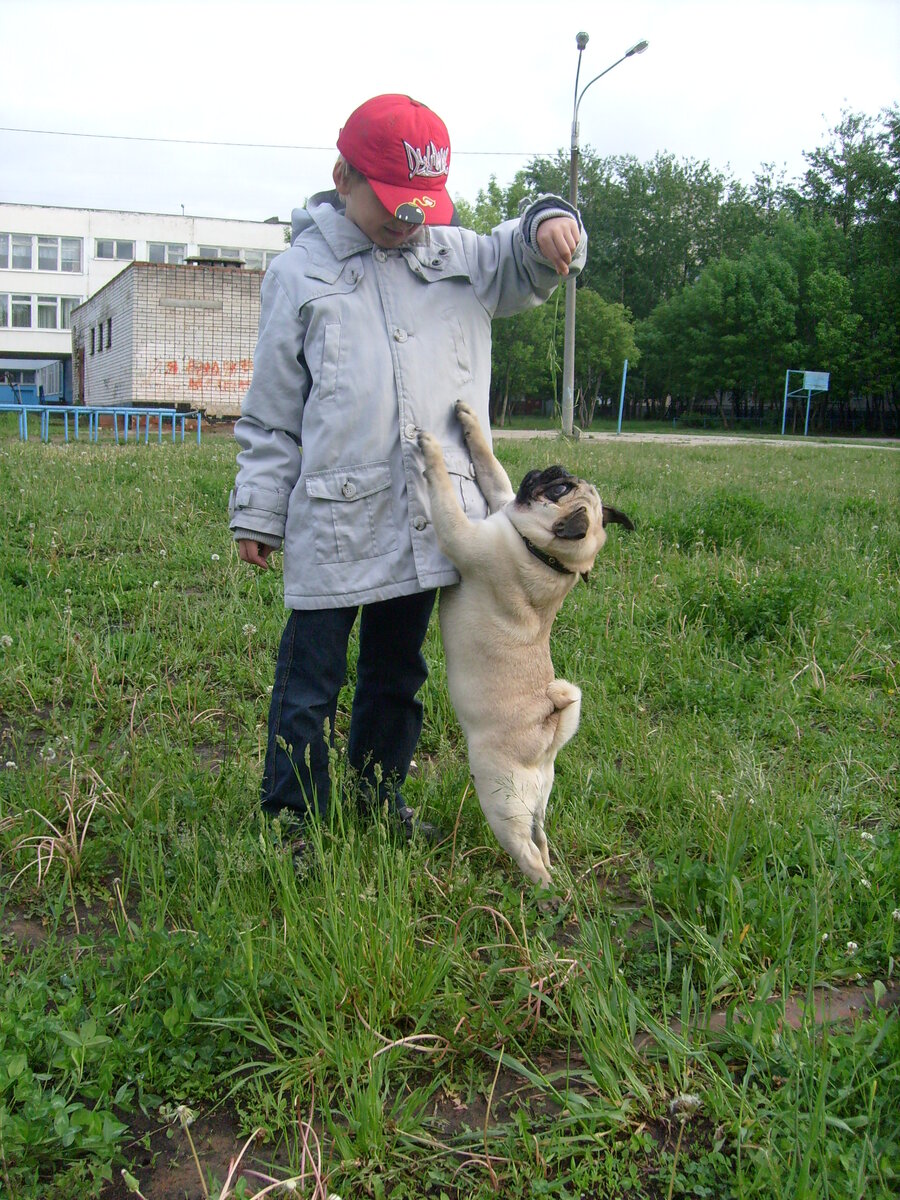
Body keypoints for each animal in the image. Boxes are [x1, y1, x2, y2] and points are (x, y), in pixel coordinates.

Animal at [422, 408, 638, 888]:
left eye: (557, 491)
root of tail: (550, 732)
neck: (547, 557)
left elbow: (442, 492)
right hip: (537, 800)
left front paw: (429, 450)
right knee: (541, 836)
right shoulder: (502, 496)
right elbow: (490, 466)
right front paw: (468, 420)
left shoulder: (460, 535)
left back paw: (542, 890)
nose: (552, 469)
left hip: (500, 800)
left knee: (527, 851)